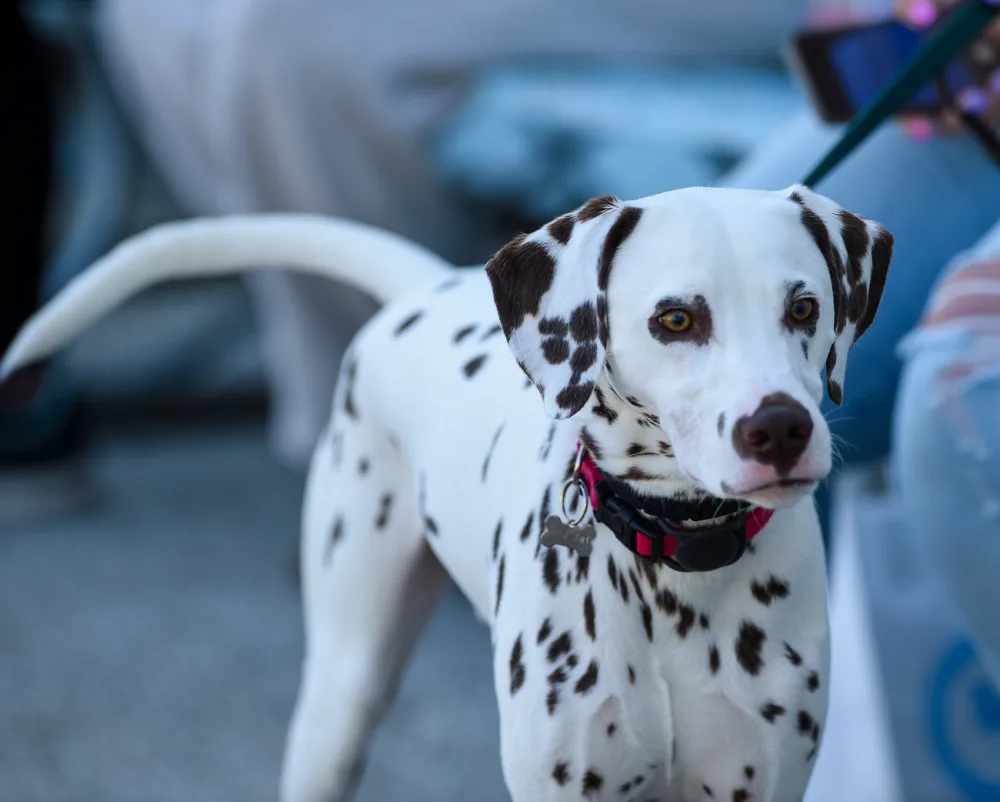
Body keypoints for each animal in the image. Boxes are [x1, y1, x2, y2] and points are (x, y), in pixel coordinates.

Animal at [1, 185, 893, 802]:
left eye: (804, 306)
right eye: (675, 320)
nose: (779, 428)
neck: (672, 553)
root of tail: (427, 286)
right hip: (341, 697)